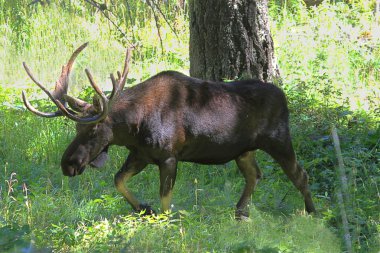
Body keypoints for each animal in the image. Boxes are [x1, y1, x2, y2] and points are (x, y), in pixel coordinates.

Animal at [22, 42, 316, 218]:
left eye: (93, 130)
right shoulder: (141, 154)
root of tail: (284, 96)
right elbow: (118, 180)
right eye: (75, 127)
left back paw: (311, 213)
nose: (68, 164)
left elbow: (165, 200)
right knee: (255, 175)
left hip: (279, 140)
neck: (133, 127)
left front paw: (162, 221)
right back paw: (240, 212)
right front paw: (143, 208)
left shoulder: (169, 156)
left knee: (300, 174)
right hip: (244, 150)